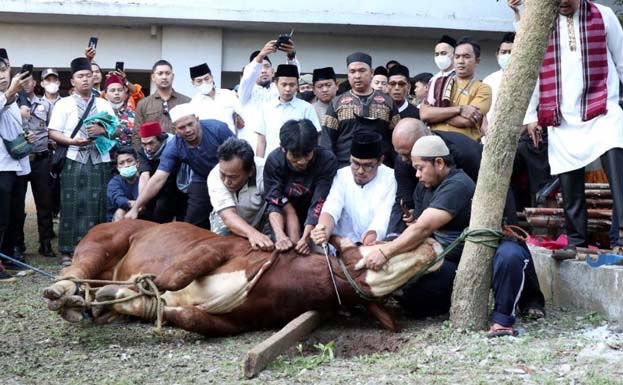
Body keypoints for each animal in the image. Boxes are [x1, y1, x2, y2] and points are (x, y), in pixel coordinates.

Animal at [44, 219, 442, 336]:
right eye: (367, 247)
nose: (432, 241)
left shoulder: (235, 323)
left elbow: (181, 314)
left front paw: (120, 298)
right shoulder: (220, 248)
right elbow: (174, 277)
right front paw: (132, 290)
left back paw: (95, 302)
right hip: (103, 241)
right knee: (74, 270)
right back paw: (63, 293)